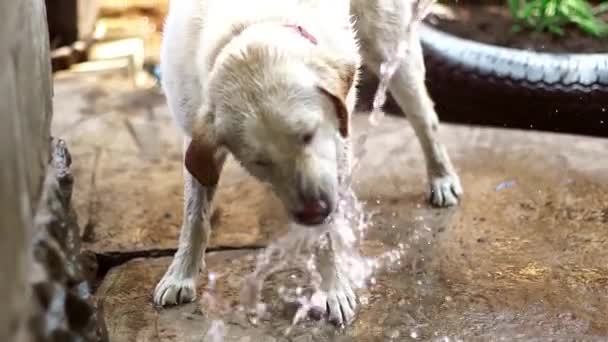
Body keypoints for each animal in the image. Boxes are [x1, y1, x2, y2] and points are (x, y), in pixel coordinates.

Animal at [153, 0, 460, 326]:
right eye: (259, 162)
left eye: (309, 134)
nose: (313, 212)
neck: (251, 19)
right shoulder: (194, 129)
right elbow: (195, 217)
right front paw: (181, 275)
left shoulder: (338, 144)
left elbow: (327, 234)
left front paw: (333, 288)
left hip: (390, 50)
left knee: (425, 118)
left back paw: (442, 177)